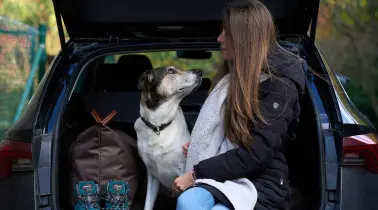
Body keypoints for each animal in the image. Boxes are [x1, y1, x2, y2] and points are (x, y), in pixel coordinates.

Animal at [134, 66, 202, 210]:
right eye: (171, 71)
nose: (199, 71)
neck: (159, 126)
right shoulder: (152, 176)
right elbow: (148, 204)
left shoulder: (182, 174)